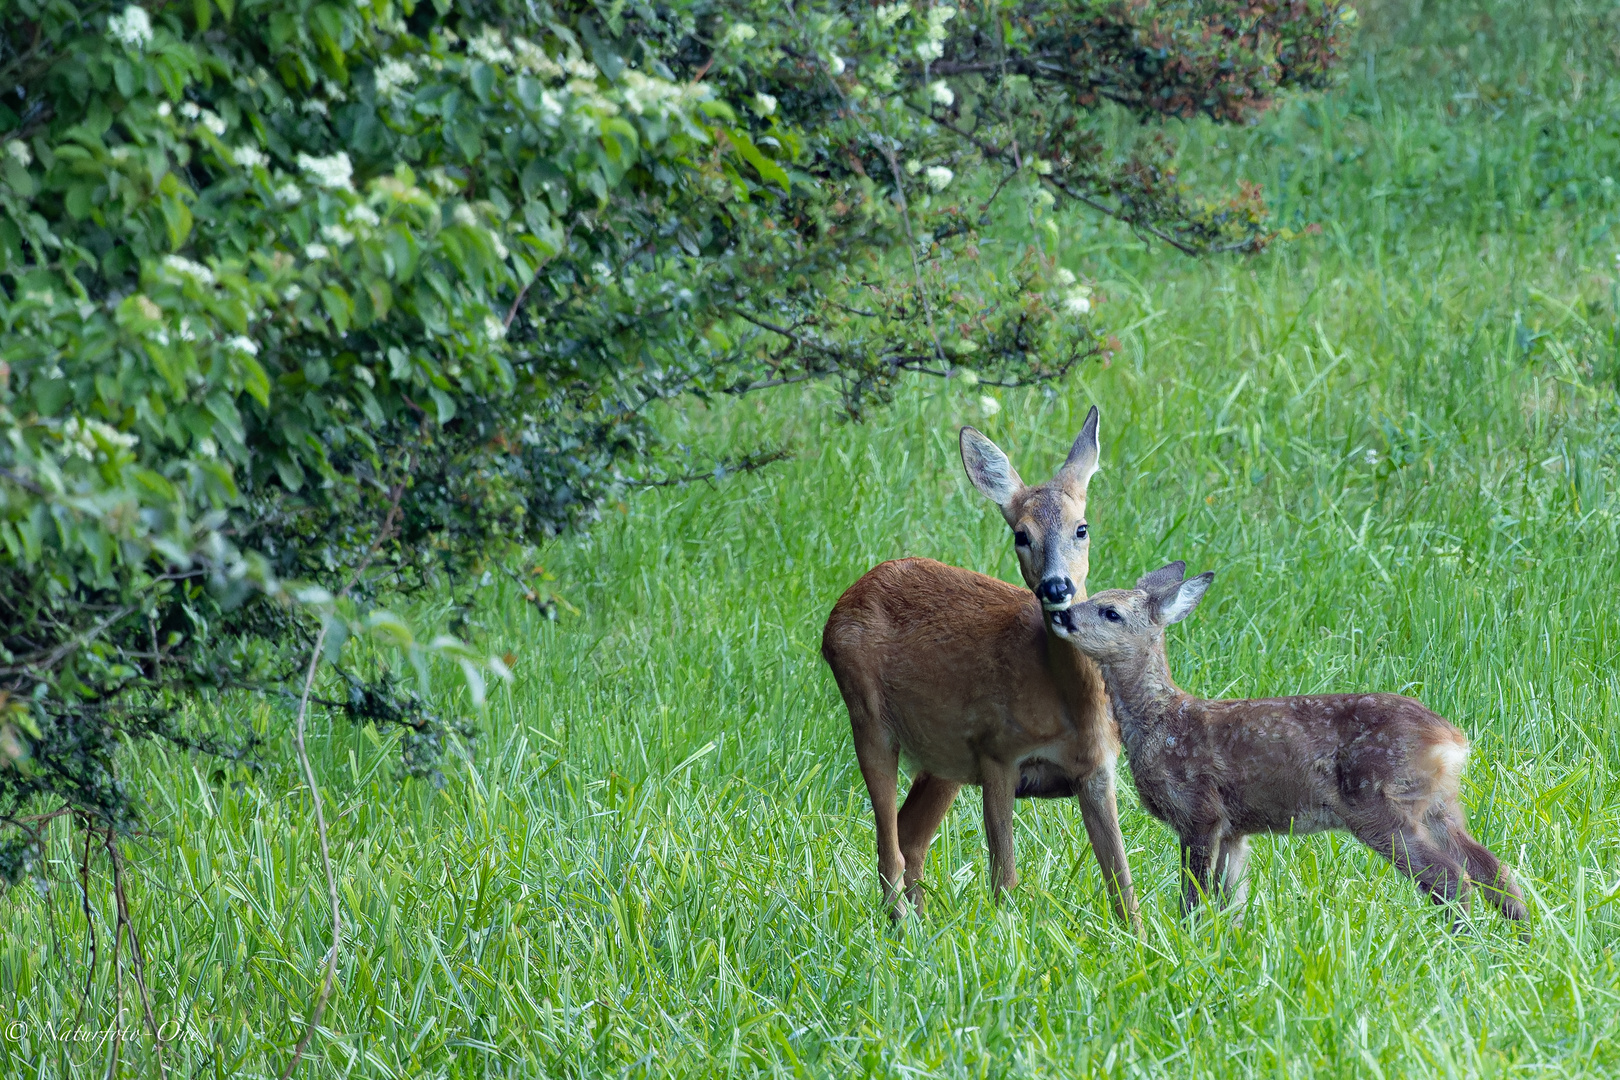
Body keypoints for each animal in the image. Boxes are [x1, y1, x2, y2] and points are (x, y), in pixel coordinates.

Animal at [822, 408, 1140, 932]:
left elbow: (1122, 884)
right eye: (1021, 535)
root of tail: (842, 604)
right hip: (868, 717)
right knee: (888, 848)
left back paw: (922, 927)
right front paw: (1007, 937)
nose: (1057, 586)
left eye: (1082, 527)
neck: (1067, 704)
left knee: (910, 836)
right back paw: (902, 929)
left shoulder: (1097, 769)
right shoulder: (997, 752)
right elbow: (1005, 879)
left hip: (944, 756)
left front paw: (1141, 941)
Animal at [1043, 557, 1522, 932]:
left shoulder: (1200, 810)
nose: (1062, 615)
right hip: (1440, 803)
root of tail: (1452, 740)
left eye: (1109, 612)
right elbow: (1231, 902)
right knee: (1492, 868)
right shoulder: (1235, 829)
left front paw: (1186, 941)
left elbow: (1195, 897)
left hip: (1380, 802)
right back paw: (1522, 937)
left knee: (1452, 878)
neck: (1163, 723)